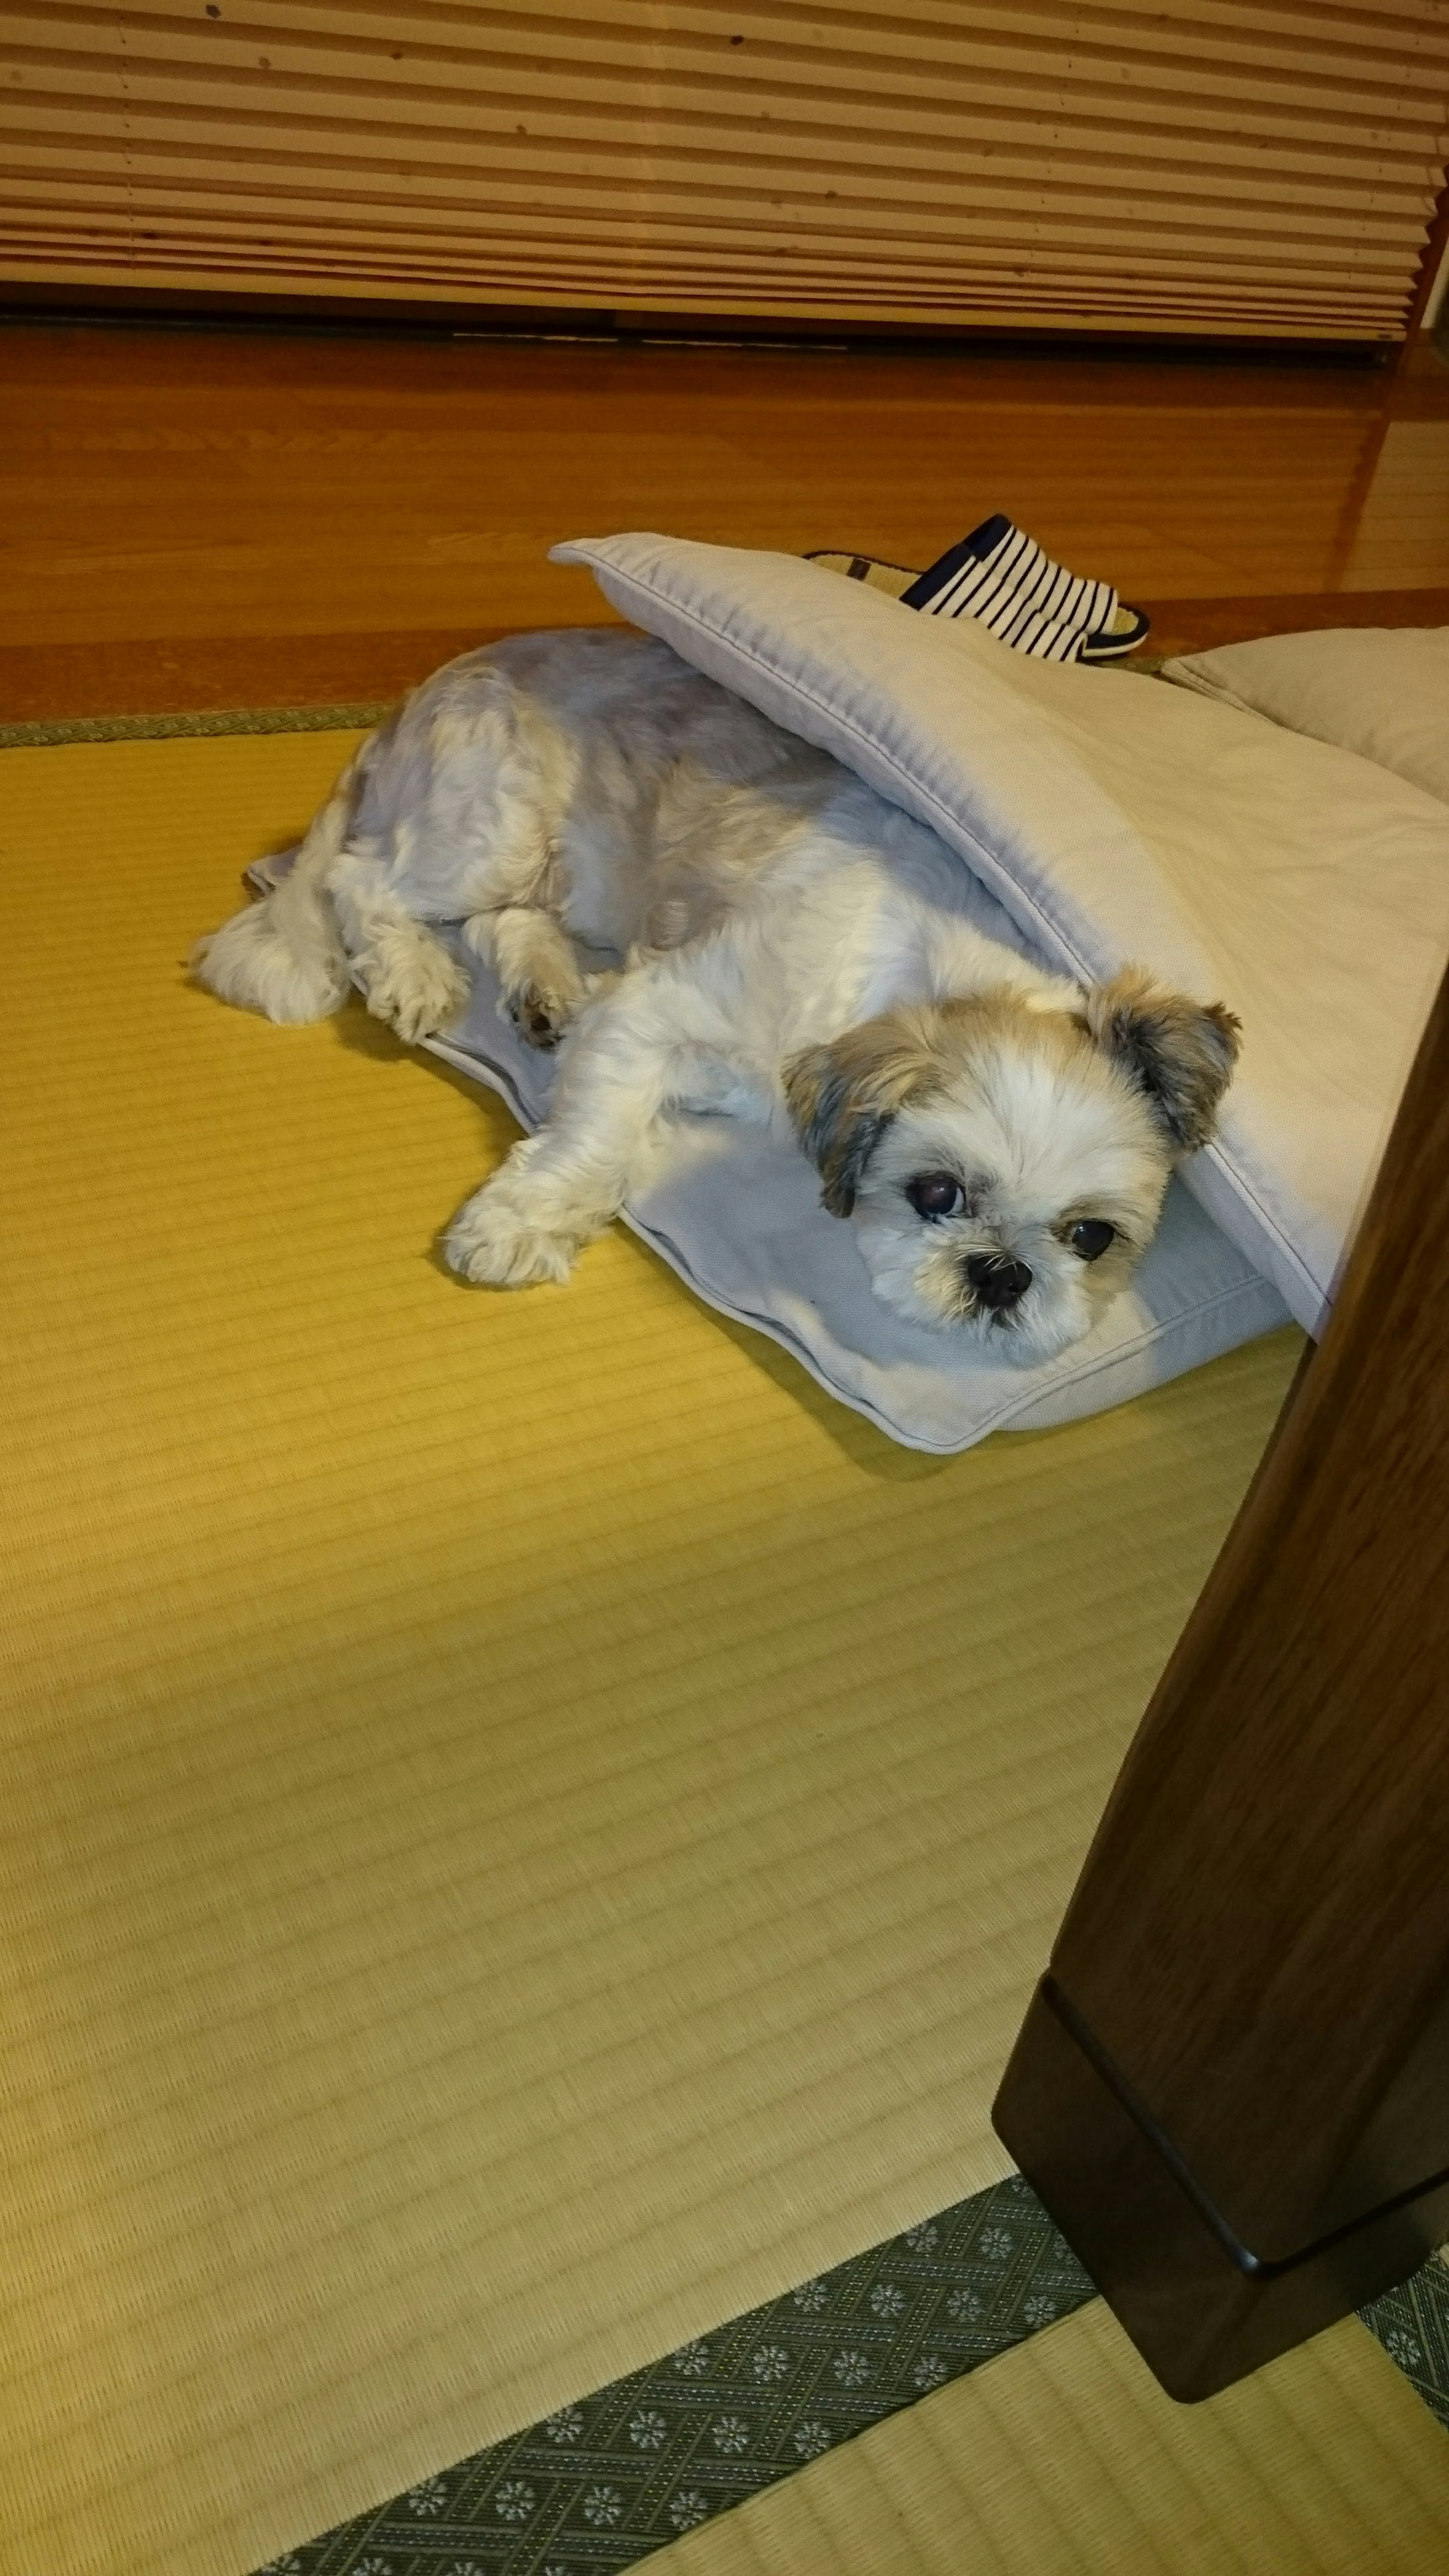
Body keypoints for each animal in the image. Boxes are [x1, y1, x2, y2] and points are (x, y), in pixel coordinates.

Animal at [189, 626, 1227, 1370]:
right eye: (935, 1191)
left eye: (1091, 1236)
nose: (1003, 1274)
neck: (915, 973)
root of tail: (434, 684)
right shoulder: (655, 1010)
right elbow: (595, 1143)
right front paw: (522, 1223)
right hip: (490, 828)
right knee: (366, 882)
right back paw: (415, 970)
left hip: (561, 876)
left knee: (501, 921)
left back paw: (544, 987)